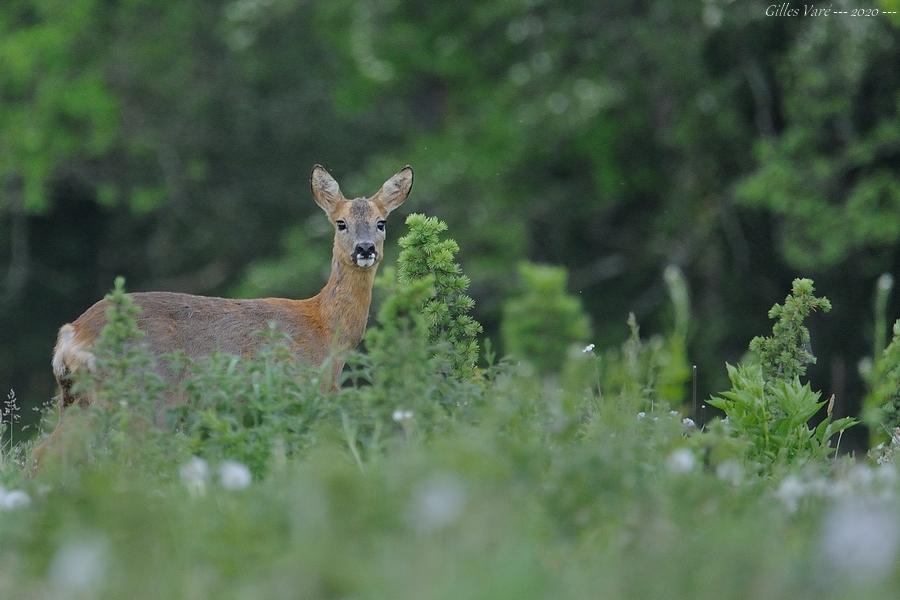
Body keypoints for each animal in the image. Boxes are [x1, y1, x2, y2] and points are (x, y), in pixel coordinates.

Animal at [51, 164, 414, 408]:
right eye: (341, 223)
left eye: (381, 222)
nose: (364, 249)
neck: (326, 329)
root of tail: (71, 334)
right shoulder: (297, 388)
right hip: (140, 391)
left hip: (75, 396)